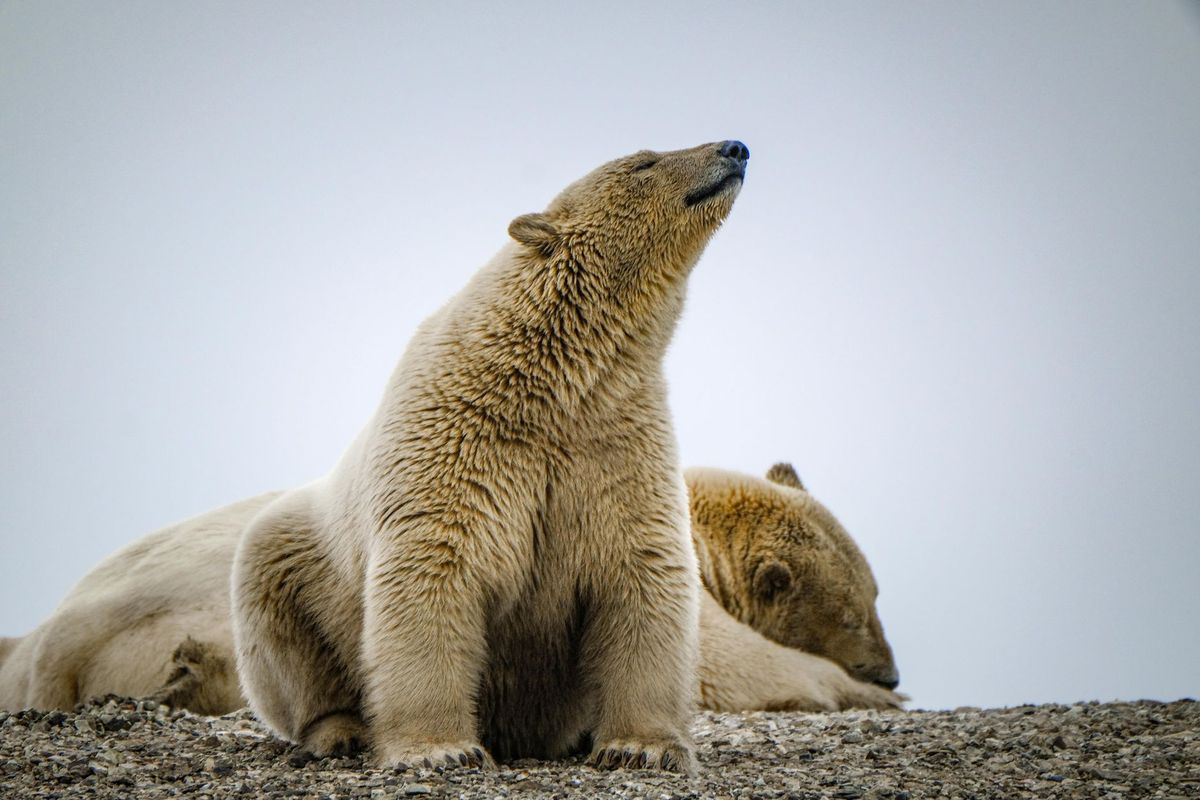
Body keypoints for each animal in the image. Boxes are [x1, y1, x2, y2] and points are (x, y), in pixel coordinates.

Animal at [0, 464, 902, 719]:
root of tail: (58, 635)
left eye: (877, 593)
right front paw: (858, 694)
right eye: (854, 612)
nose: (890, 669)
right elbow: (721, 661)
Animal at [227, 140, 754, 774]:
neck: (552, 383)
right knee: (282, 618)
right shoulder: (456, 442)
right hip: (301, 557)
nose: (735, 147)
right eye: (643, 162)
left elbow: (642, 570)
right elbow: (434, 569)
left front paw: (641, 747)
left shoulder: (616, 444)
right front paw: (440, 749)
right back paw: (341, 731)